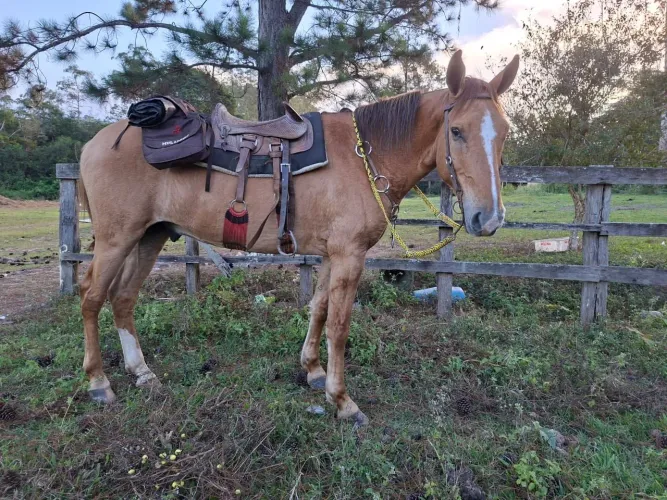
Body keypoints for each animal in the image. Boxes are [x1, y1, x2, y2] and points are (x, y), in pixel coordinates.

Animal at [77, 50, 519, 425]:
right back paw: (99, 383)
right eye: (457, 131)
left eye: (504, 132)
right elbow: (339, 325)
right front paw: (343, 401)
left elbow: (318, 310)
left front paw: (314, 372)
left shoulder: (330, 256)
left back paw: (142, 373)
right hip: (118, 238)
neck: (365, 155)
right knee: (92, 297)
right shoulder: (349, 256)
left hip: (150, 236)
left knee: (123, 298)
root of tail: (96, 141)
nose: (489, 218)